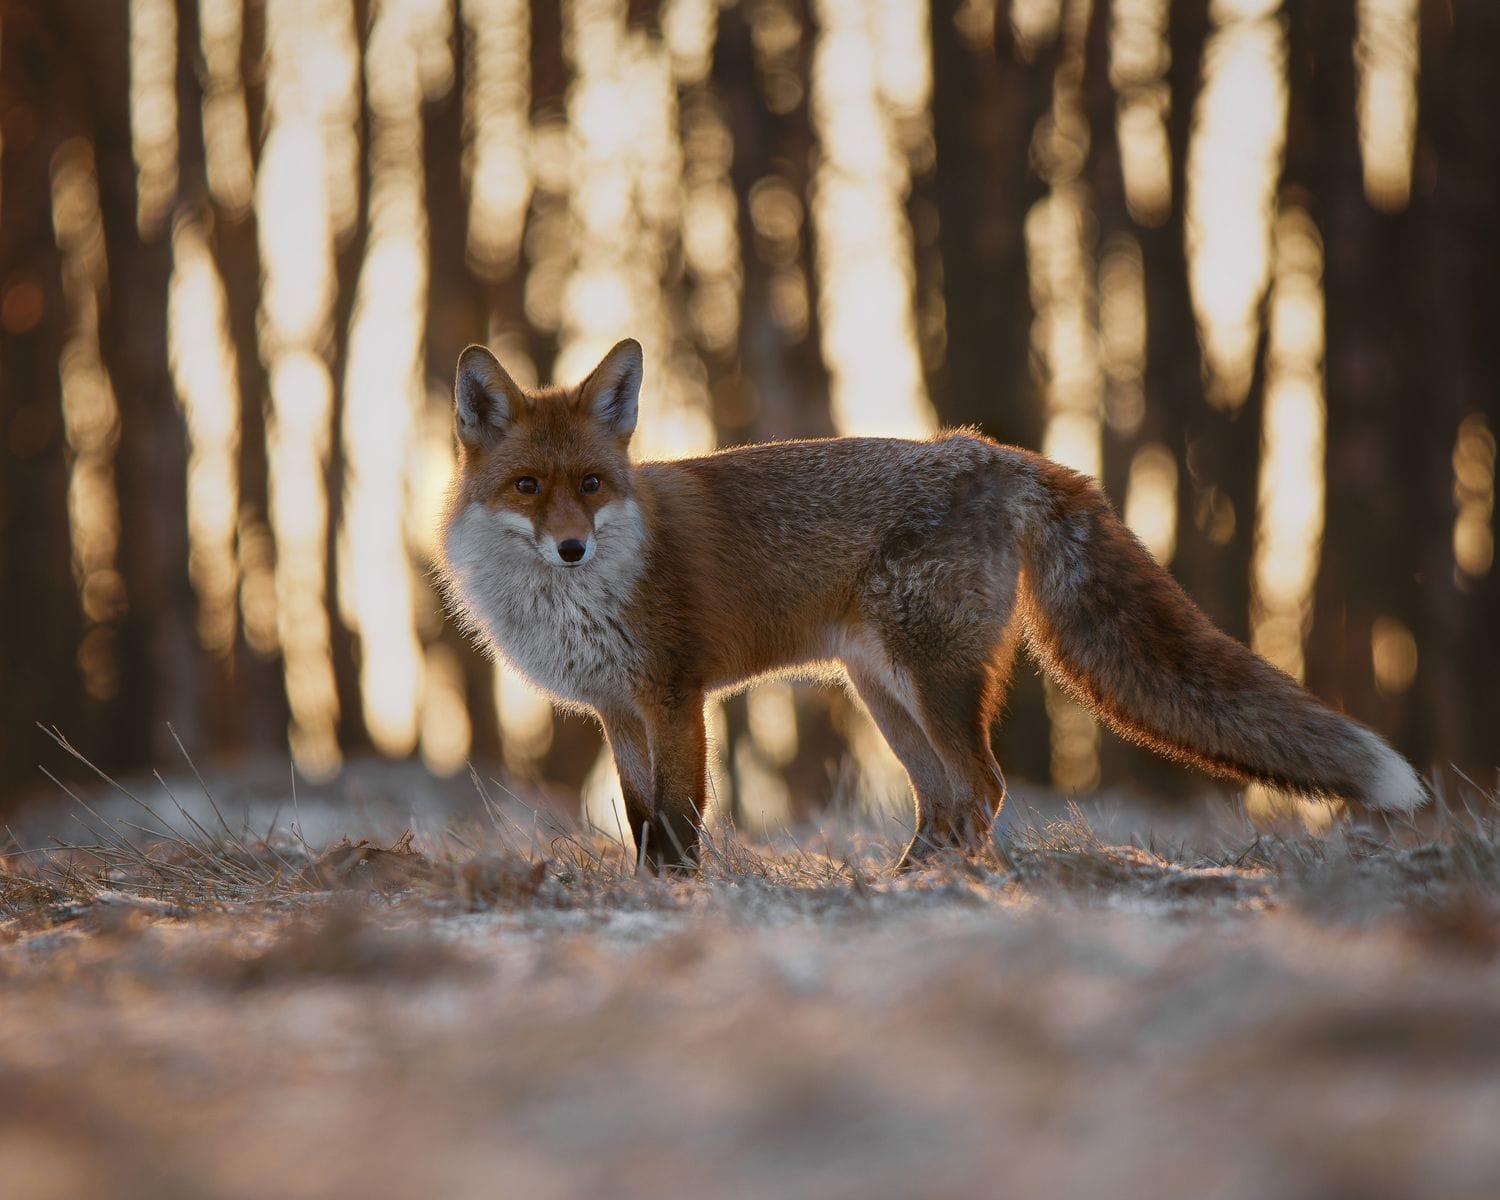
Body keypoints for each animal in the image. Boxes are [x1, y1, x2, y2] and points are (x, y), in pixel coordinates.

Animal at [438, 337, 1427, 873]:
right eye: (527, 487)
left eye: (592, 485)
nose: (572, 548)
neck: (575, 600)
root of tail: (996, 451)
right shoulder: (618, 711)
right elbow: (643, 821)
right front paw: (648, 897)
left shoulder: (674, 697)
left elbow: (681, 821)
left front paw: (681, 905)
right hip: (886, 694)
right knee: (945, 803)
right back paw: (902, 886)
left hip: (933, 680)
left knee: (981, 790)